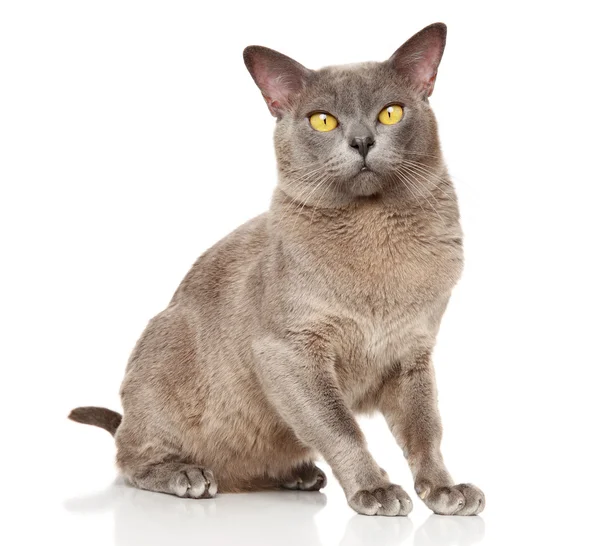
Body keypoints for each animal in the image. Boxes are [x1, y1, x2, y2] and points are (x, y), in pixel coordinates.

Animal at [70, 22, 486, 516]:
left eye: (390, 113)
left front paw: (446, 490)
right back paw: (189, 475)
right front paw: (375, 491)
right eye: (323, 120)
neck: (376, 245)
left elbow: (427, 432)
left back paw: (300, 475)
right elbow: (340, 426)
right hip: (166, 348)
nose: (363, 141)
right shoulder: (291, 352)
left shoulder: (412, 354)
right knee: (132, 456)